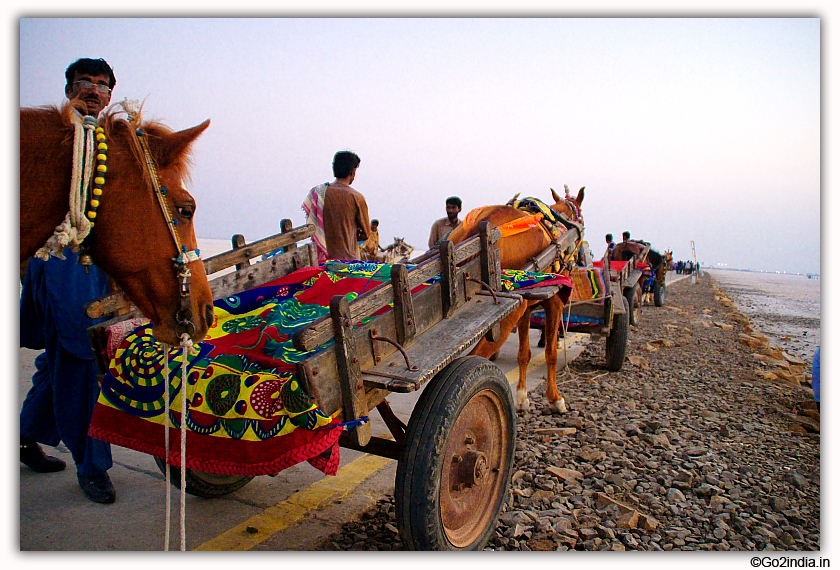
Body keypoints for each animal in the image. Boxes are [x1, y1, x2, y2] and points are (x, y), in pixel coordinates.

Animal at [446, 186, 584, 412]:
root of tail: (477, 225)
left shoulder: (526, 308)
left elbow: (524, 353)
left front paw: (521, 397)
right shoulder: (554, 302)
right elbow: (551, 353)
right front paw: (555, 400)